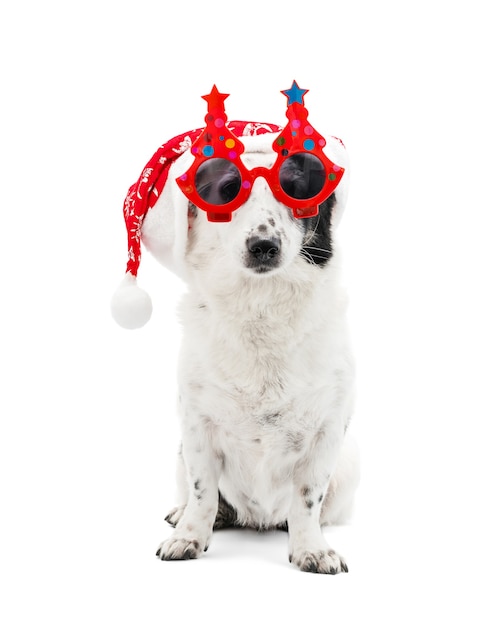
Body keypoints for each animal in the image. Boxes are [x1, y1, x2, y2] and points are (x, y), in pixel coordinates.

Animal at [112, 89, 360, 576]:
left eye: (298, 187)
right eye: (226, 191)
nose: (264, 246)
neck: (259, 309)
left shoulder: (327, 433)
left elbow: (307, 499)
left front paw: (311, 548)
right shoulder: (196, 429)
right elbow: (203, 492)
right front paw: (189, 536)